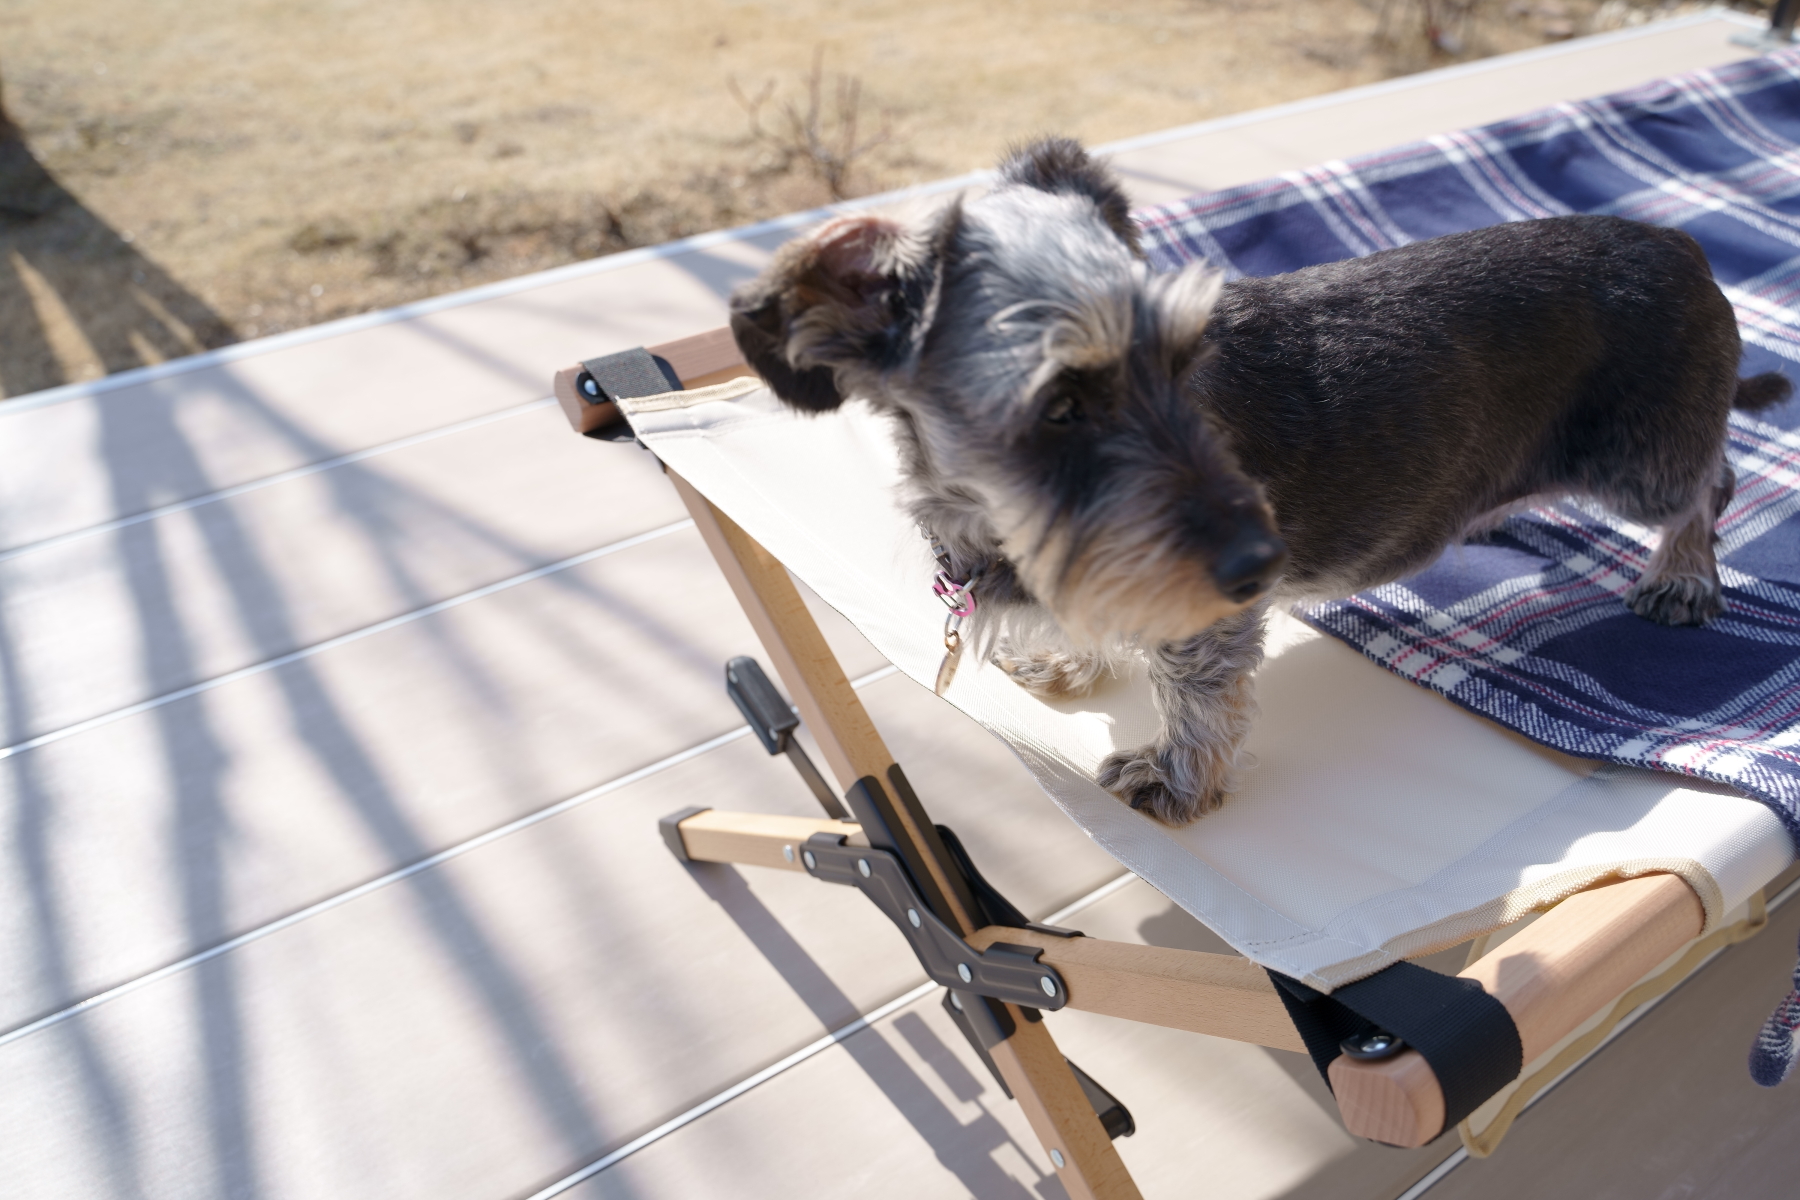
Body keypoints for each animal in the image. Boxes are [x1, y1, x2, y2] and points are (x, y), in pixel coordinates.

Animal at [728, 137, 1793, 826]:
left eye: (1185, 361)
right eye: (1061, 403)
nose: (1261, 559)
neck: (1000, 526)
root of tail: (1682, 246)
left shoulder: (1207, 616)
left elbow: (1197, 695)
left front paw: (1176, 779)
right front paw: (1075, 660)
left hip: (1640, 463)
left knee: (1713, 478)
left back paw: (1684, 574)